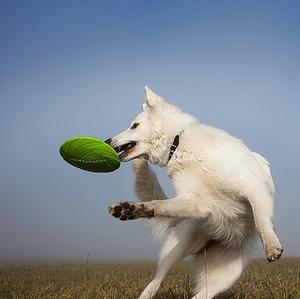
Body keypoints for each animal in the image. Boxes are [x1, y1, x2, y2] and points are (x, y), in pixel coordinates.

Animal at [106, 85, 284, 298]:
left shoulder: (253, 187)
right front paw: (134, 209)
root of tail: (214, 239)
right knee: (156, 281)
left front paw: (271, 245)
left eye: (134, 125)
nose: (107, 141)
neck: (179, 143)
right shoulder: (197, 203)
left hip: (227, 275)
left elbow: (260, 220)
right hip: (176, 250)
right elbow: (159, 204)